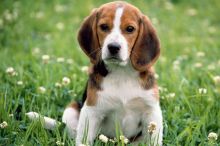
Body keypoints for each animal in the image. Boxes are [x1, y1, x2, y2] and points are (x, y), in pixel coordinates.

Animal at [61, 0, 162, 145]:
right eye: (104, 27)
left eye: (130, 29)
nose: (113, 47)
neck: (122, 73)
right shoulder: (91, 111)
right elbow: (83, 140)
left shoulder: (152, 112)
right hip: (70, 110)